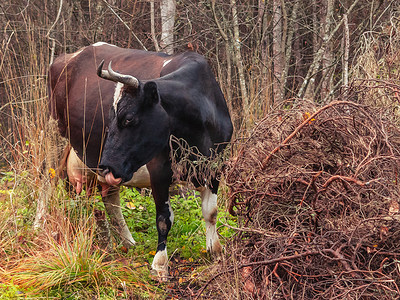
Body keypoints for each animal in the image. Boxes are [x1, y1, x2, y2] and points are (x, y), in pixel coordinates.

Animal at [48, 41, 233, 278]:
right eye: (111, 118)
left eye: (128, 118)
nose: (106, 164)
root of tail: (69, 57)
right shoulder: (159, 169)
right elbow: (164, 218)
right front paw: (160, 264)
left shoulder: (215, 166)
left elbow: (211, 212)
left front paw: (215, 250)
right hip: (53, 137)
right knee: (46, 182)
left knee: (110, 198)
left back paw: (128, 241)